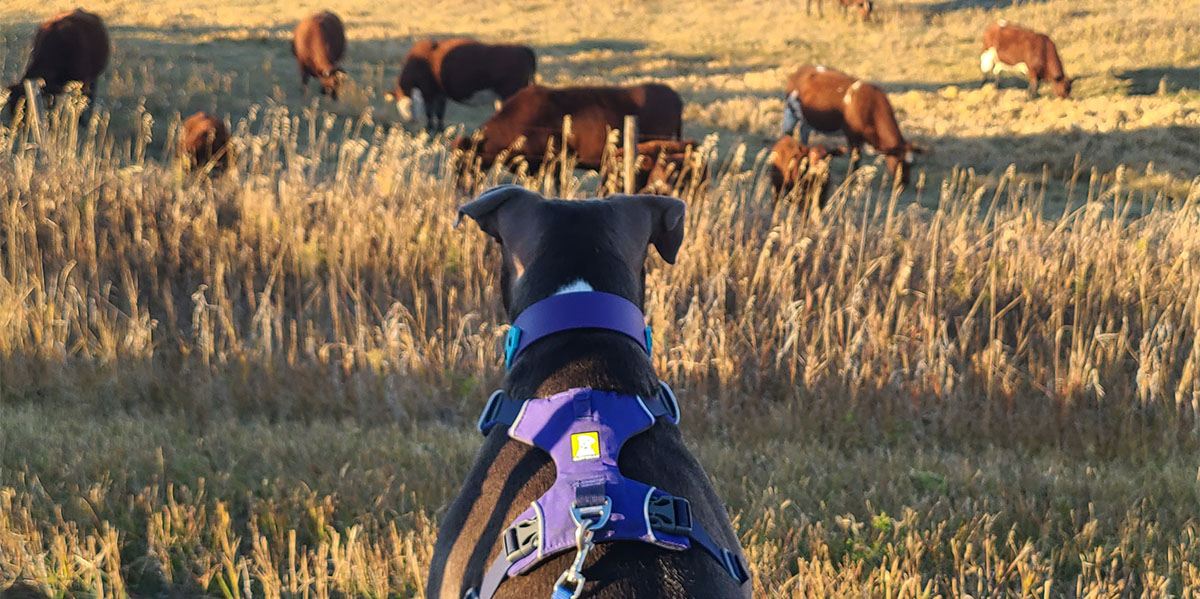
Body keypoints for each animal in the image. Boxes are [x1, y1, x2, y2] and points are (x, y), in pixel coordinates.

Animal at [386, 38, 537, 131]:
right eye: (400, 103)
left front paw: (430, 128)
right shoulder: (440, 94)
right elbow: (439, 112)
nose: (411, 119)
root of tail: (523, 48)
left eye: (412, 104)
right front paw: (439, 129)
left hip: (511, 93)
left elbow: (429, 112)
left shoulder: (428, 91)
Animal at [782, 64, 921, 186]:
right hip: (790, 112)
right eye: (899, 161)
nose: (904, 183)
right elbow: (856, 158)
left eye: (912, 164)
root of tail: (800, 70)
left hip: (807, 119)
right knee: (787, 132)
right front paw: (851, 180)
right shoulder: (852, 134)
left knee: (804, 131)